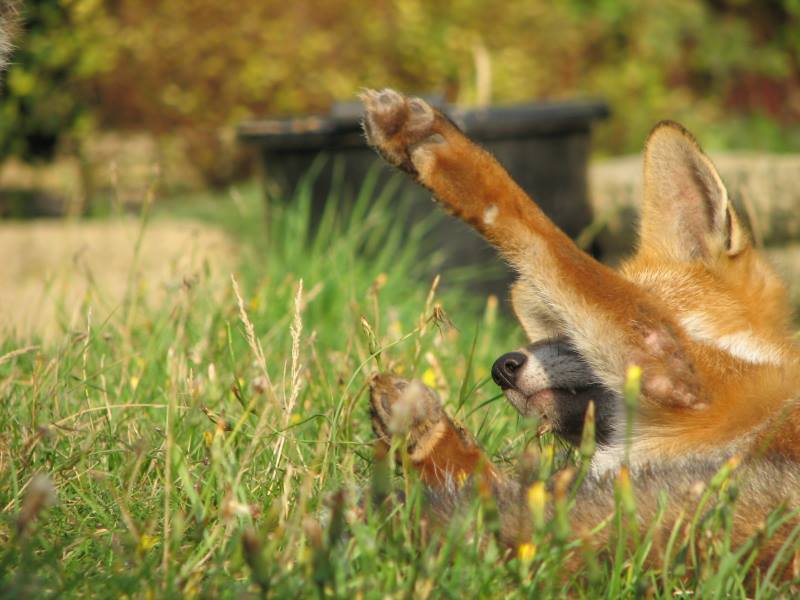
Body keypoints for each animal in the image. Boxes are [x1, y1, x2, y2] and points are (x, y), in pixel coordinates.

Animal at [359, 88, 800, 581]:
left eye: (568, 333)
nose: (502, 367)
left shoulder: (686, 382)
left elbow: (555, 247)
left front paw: (440, 148)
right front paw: (420, 429)